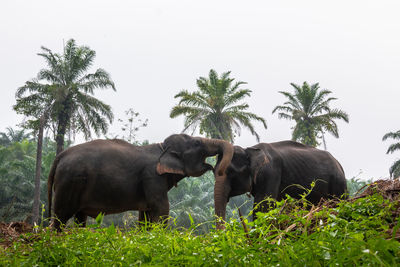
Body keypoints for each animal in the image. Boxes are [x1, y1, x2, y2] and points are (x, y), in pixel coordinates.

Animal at [48, 135, 233, 231]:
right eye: (197, 143)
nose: (217, 169)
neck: (161, 147)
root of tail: (60, 156)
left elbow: (146, 212)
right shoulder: (151, 175)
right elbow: (161, 208)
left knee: (80, 217)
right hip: (70, 181)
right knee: (61, 216)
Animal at [212, 140, 346, 228]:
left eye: (231, 172)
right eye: (213, 171)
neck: (250, 150)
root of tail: (339, 164)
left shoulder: (270, 172)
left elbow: (263, 206)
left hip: (338, 183)